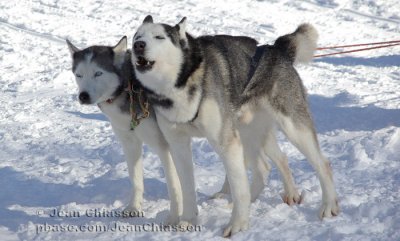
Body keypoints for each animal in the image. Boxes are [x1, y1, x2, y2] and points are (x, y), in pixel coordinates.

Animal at [66, 36, 183, 223]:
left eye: (98, 73)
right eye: (79, 75)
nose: (83, 96)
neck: (129, 87)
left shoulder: (164, 145)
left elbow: (174, 184)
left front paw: (175, 217)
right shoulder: (129, 142)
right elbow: (135, 179)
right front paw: (134, 207)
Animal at [133, 16, 340, 236]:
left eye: (159, 37)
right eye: (137, 36)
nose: (138, 46)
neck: (180, 84)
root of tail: (277, 49)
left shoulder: (227, 143)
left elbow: (239, 188)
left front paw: (238, 225)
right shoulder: (178, 145)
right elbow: (187, 186)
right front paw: (188, 220)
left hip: (292, 128)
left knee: (322, 164)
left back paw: (329, 206)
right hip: (251, 133)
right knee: (269, 164)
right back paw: (284, 194)